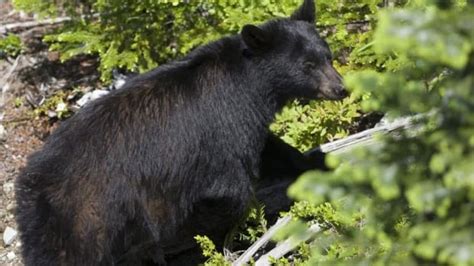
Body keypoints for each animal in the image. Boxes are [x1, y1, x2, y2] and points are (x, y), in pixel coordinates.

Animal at [15, 0, 344, 264]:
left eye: (327, 56)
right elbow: (230, 191)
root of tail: (34, 185)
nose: (340, 88)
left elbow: (272, 149)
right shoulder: (223, 131)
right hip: (89, 216)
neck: (251, 85)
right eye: (307, 65)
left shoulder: (245, 125)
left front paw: (318, 163)